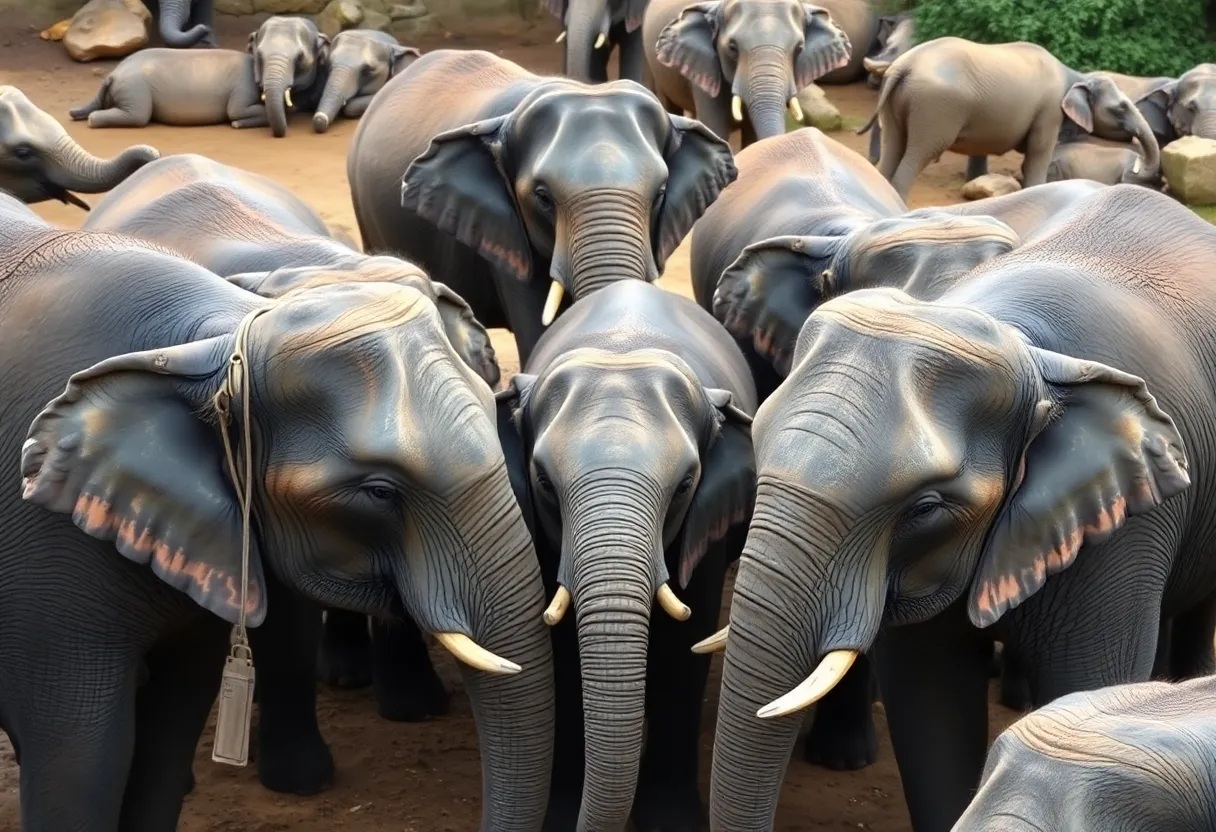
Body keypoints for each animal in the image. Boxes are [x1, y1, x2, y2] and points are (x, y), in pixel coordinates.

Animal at [0, 192, 555, 831]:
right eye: (379, 492)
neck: (218, 342)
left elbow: (172, 721)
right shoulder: (43, 552)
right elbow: (85, 751)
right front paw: (305, 781)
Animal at [69, 49, 268, 129]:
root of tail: (113, 74)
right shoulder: (244, 86)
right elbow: (235, 111)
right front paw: (237, 123)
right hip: (134, 88)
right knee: (138, 116)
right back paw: (92, 120)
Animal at [495, 279, 756, 830]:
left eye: (685, 485)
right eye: (544, 483)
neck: (621, 348)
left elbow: (686, 646)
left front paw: (673, 822)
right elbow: (562, 656)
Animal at [862, 38, 1163, 201]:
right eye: (1120, 108)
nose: (1137, 165)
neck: (1077, 75)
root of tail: (903, 66)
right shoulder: (1049, 111)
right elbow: (1036, 155)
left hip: (900, 103)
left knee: (892, 149)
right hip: (935, 109)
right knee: (915, 156)